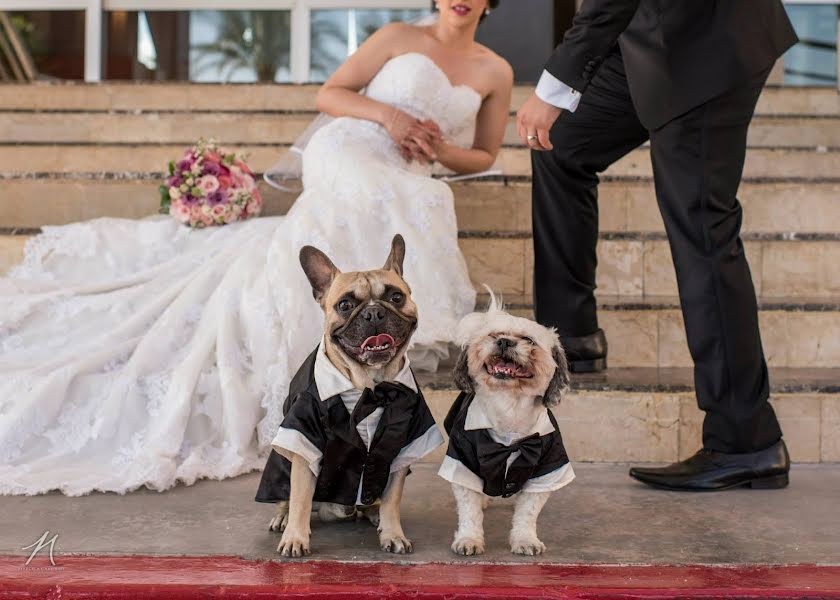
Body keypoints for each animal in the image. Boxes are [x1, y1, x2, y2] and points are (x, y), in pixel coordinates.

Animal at [436, 296, 576, 556]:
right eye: (493, 334)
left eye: (529, 340)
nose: (504, 341)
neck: (508, 405)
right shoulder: (461, 459)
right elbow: (469, 511)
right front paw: (469, 539)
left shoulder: (549, 467)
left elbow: (528, 512)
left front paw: (525, 539)